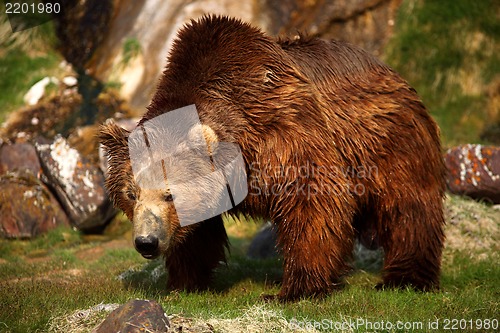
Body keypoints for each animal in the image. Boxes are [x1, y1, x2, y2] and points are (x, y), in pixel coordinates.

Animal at [100, 15, 446, 300]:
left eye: (169, 193)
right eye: (130, 193)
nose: (146, 242)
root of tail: (390, 71)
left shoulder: (284, 135)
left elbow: (312, 203)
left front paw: (295, 289)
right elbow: (197, 233)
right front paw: (183, 283)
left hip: (387, 139)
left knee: (407, 206)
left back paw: (405, 277)